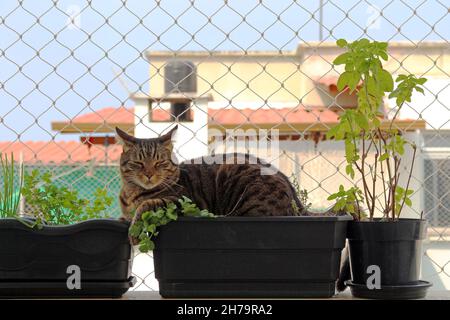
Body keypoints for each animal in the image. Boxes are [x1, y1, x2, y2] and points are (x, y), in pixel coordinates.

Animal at [117, 125, 306, 222]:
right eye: (138, 163)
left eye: (160, 163)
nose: (149, 174)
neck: (133, 195)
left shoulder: (186, 202)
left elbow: (149, 204)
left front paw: (134, 233)